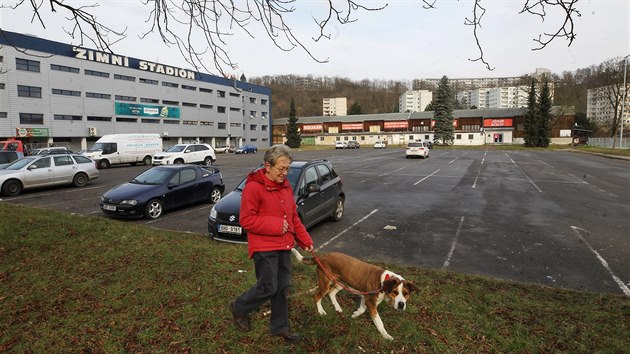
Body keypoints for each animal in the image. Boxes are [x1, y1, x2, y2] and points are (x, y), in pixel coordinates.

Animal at [292, 249, 420, 340]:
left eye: (406, 294)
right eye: (395, 292)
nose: (401, 305)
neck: (384, 282)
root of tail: (321, 256)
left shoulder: (366, 297)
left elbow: (362, 309)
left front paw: (355, 314)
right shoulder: (371, 303)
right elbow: (379, 322)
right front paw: (386, 335)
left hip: (341, 283)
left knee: (331, 293)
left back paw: (337, 307)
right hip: (325, 283)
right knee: (317, 296)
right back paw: (321, 311)